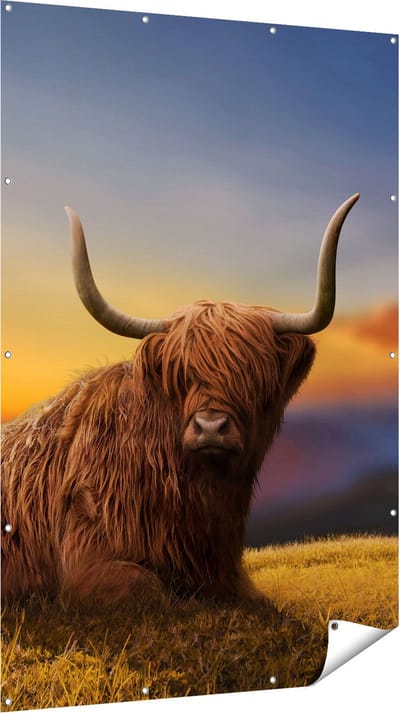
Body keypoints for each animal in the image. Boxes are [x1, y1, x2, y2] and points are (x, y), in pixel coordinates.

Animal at [1, 193, 359, 606]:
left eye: (251, 374)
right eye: (181, 374)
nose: (211, 428)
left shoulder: (228, 574)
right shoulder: (85, 564)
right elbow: (151, 589)